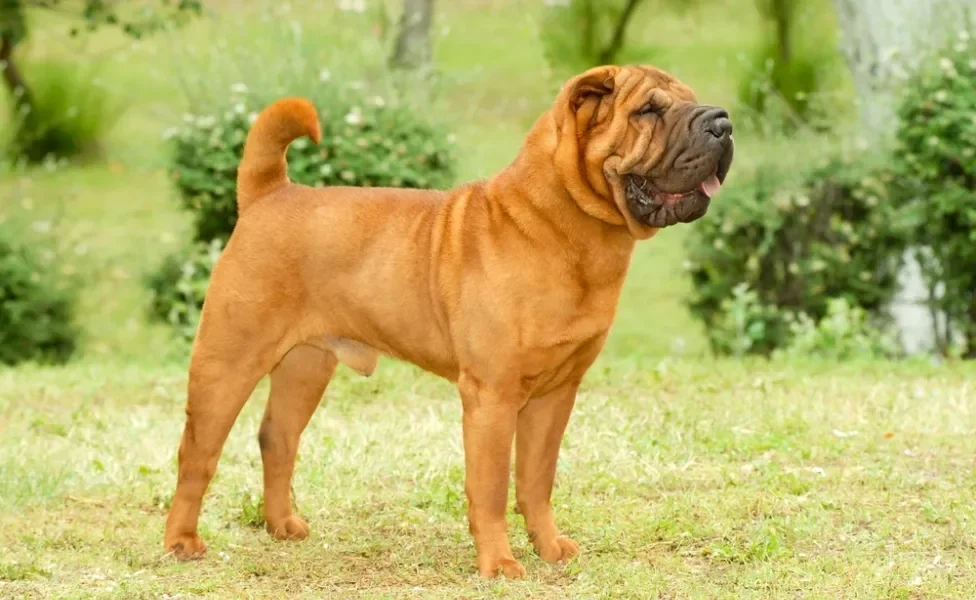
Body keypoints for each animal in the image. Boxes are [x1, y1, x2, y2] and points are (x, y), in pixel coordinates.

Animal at [164, 63, 736, 580]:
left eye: (691, 98)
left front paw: (550, 547)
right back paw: (182, 542)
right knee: (197, 453)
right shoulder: (492, 397)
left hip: (307, 364)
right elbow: (491, 486)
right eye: (648, 111)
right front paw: (500, 564)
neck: (568, 230)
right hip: (228, 359)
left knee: (277, 437)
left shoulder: (556, 393)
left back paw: (283, 525)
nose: (723, 122)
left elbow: (537, 479)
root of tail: (269, 193)